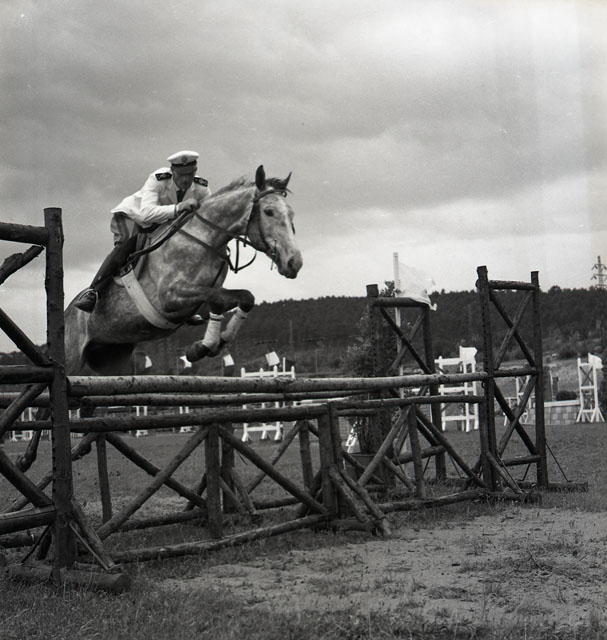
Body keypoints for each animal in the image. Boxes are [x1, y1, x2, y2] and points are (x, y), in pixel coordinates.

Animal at [64, 165, 302, 376]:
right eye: (269, 212)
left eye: (291, 214)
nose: (295, 263)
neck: (205, 239)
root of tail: (66, 313)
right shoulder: (170, 298)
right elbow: (217, 299)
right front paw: (201, 348)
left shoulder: (198, 304)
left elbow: (245, 298)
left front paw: (215, 343)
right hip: (72, 359)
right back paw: (87, 298)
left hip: (113, 359)